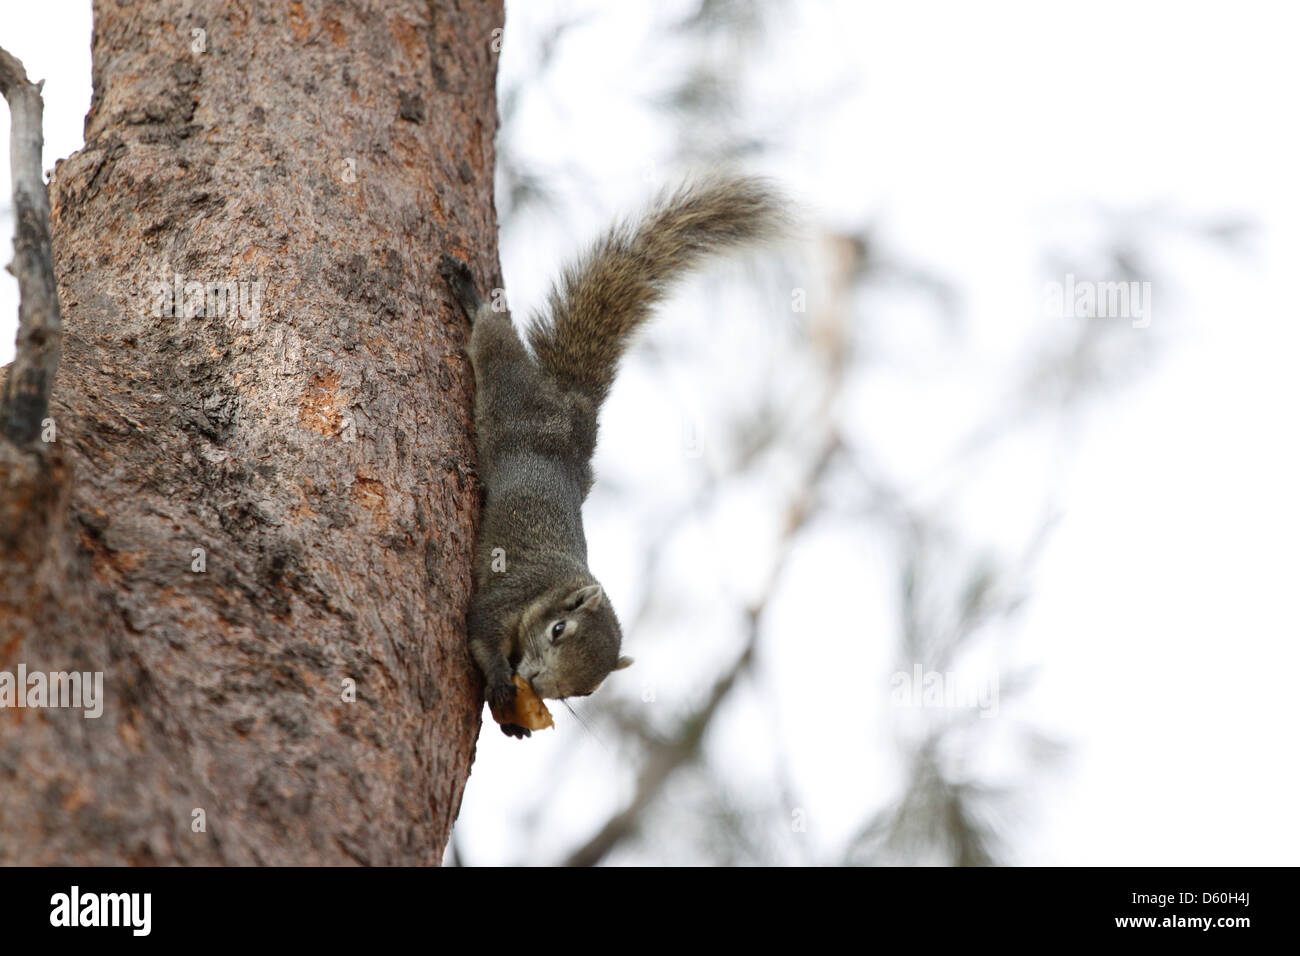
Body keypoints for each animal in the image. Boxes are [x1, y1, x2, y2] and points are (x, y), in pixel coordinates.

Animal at [439, 174, 780, 738]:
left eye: (585, 690)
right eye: (558, 629)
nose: (537, 679)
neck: (555, 588)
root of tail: (572, 411)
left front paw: (512, 718)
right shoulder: (507, 594)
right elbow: (479, 631)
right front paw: (499, 679)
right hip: (514, 400)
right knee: (495, 343)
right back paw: (470, 292)